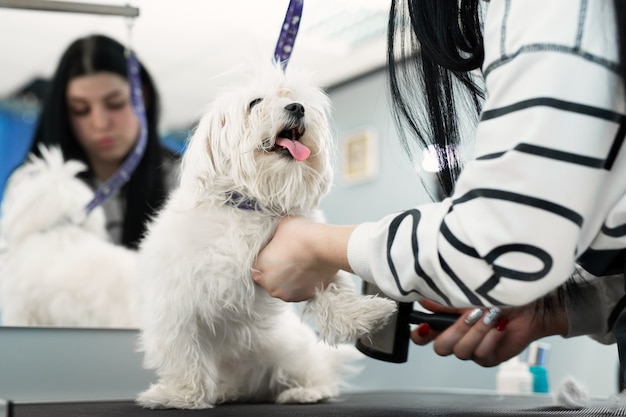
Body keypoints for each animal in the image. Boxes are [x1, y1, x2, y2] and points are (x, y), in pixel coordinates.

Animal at [136, 64, 394, 406]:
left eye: (297, 99)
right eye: (255, 102)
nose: (297, 108)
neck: (252, 205)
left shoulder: (307, 259)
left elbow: (334, 290)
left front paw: (363, 315)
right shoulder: (175, 300)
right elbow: (183, 353)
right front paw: (181, 395)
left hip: (290, 352)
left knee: (312, 372)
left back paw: (306, 391)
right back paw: (226, 390)